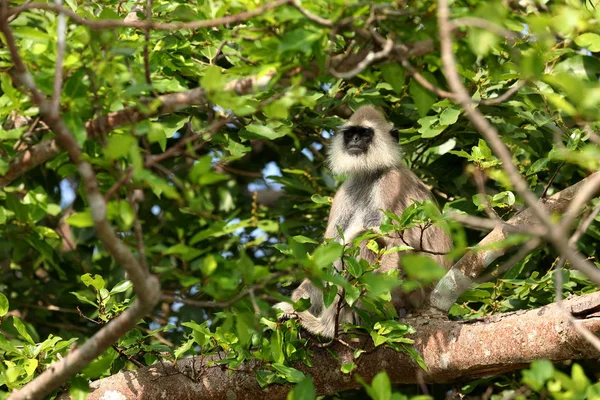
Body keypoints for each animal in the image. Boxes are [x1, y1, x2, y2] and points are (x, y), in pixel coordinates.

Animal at [274, 105, 452, 338]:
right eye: (350, 134)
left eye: (365, 133)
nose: (356, 140)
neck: (370, 174)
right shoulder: (346, 190)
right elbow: (328, 251)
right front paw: (293, 304)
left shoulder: (392, 182)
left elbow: (397, 243)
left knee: (367, 239)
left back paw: (327, 326)